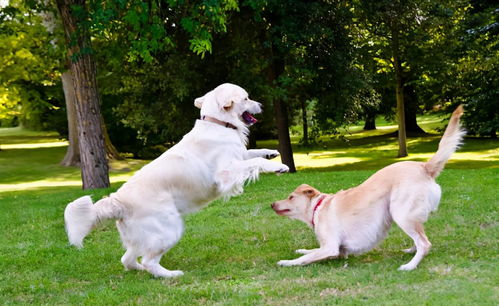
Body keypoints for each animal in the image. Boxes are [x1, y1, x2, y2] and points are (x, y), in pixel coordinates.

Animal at [64, 83, 290, 278]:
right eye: (246, 98)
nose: (261, 105)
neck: (218, 123)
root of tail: (117, 200)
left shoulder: (238, 155)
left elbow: (252, 153)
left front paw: (272, 153)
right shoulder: (224, 173)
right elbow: (254, 161)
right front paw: (278, 166)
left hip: (141, 237)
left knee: (127, 259)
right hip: (169, 229)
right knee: (149, 261)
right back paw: (170, 275)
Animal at [272, 105, 466, 270]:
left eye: (290, 197)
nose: (272, 204)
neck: (318, 208)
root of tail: (424, 167)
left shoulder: (331, 248)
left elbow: (305, 258)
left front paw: (287, 262)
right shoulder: (335, 250)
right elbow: (310, 251)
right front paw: (301, 250)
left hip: (400, 212)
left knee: (425, 244)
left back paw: (409, 265)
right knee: (419, 238)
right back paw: (411, 251)